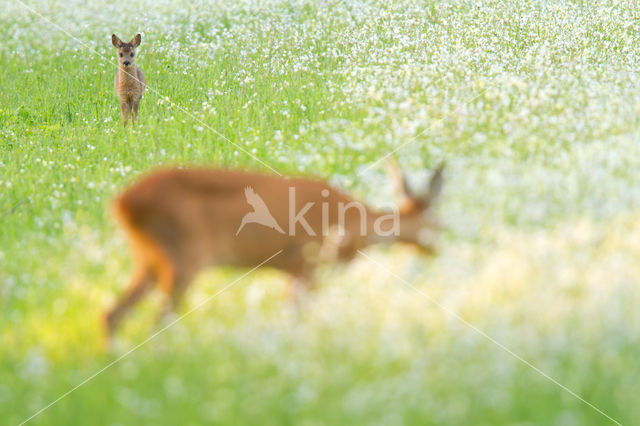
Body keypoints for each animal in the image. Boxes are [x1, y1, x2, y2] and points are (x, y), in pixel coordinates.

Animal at [106, 166, 444, 336]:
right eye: (437, 222)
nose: (438, 249)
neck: (353, 221)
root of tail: (121, 202)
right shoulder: (307, 266)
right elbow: (296, 320)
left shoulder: (294, 272)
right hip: (184, 257)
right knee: (156, 321)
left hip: (148, 259)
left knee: (112, 314)